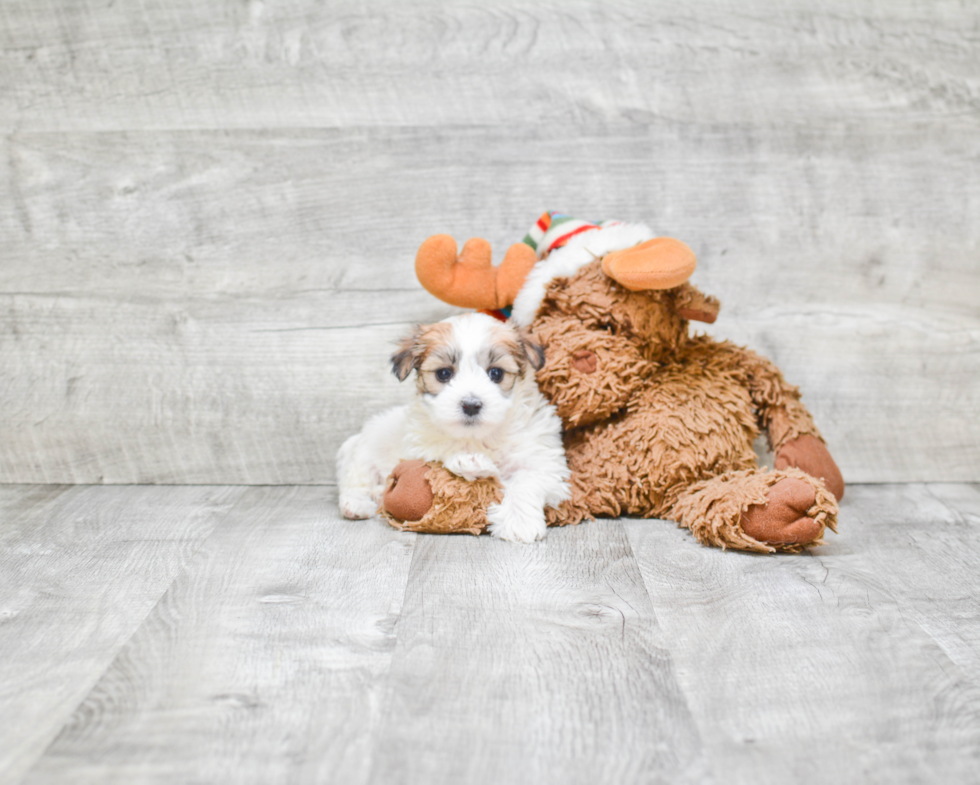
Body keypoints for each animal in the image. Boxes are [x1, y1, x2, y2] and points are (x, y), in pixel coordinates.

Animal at [336, 310, 572, 544]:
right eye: (443, 374)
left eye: (496, 373)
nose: (471, 405)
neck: (479, 437)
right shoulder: (418, 443)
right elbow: (441, 448)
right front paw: (469, 462)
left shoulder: (545, 460)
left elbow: (527, 480)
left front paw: (519, 522)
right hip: (363, 451)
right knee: (355, 481)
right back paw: (357, 503)